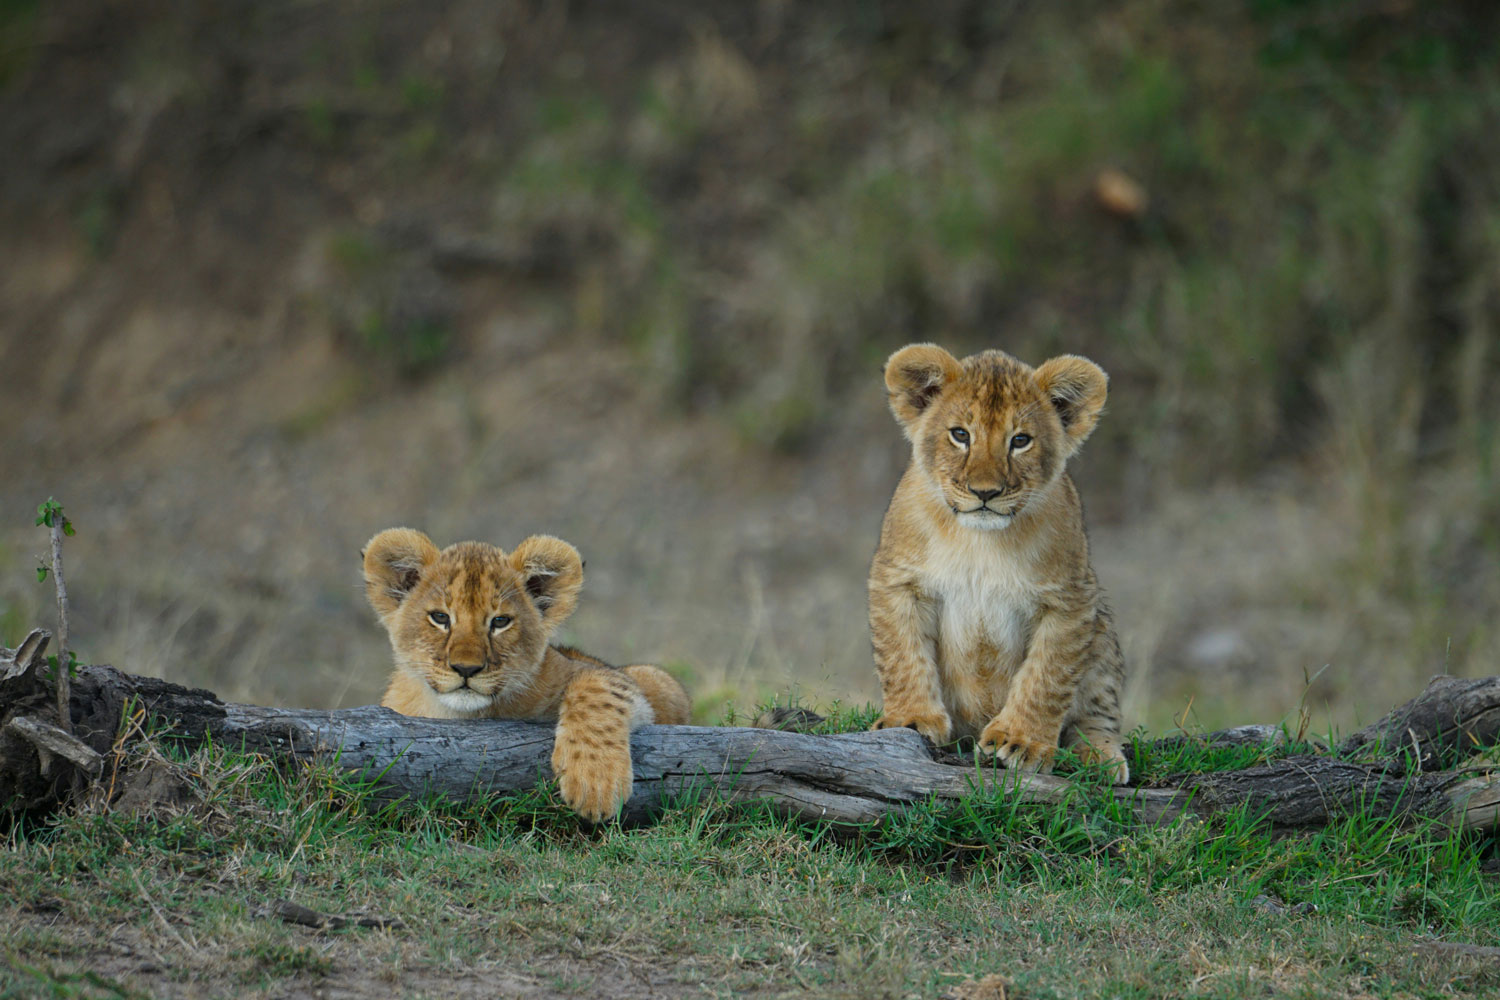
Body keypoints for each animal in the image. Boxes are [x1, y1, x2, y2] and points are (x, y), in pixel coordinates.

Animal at [362, 528, 691, 820]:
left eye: (500, 622)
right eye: (440, 618)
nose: (466, 668)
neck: (462, 715)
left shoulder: (631, 680)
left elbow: (598, 688)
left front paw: (595, 783)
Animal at [867, 343, 1130, 783]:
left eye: (1020, 440)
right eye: (960, 434)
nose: (985, 492)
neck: (980, 542)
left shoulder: (1071, 599)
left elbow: (1046, 677)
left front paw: (1021, 741)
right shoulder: (897, 580)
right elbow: (903, 655)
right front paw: (910, 718)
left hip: (1103, 629)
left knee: (1099, 713)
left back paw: (1100, 757)